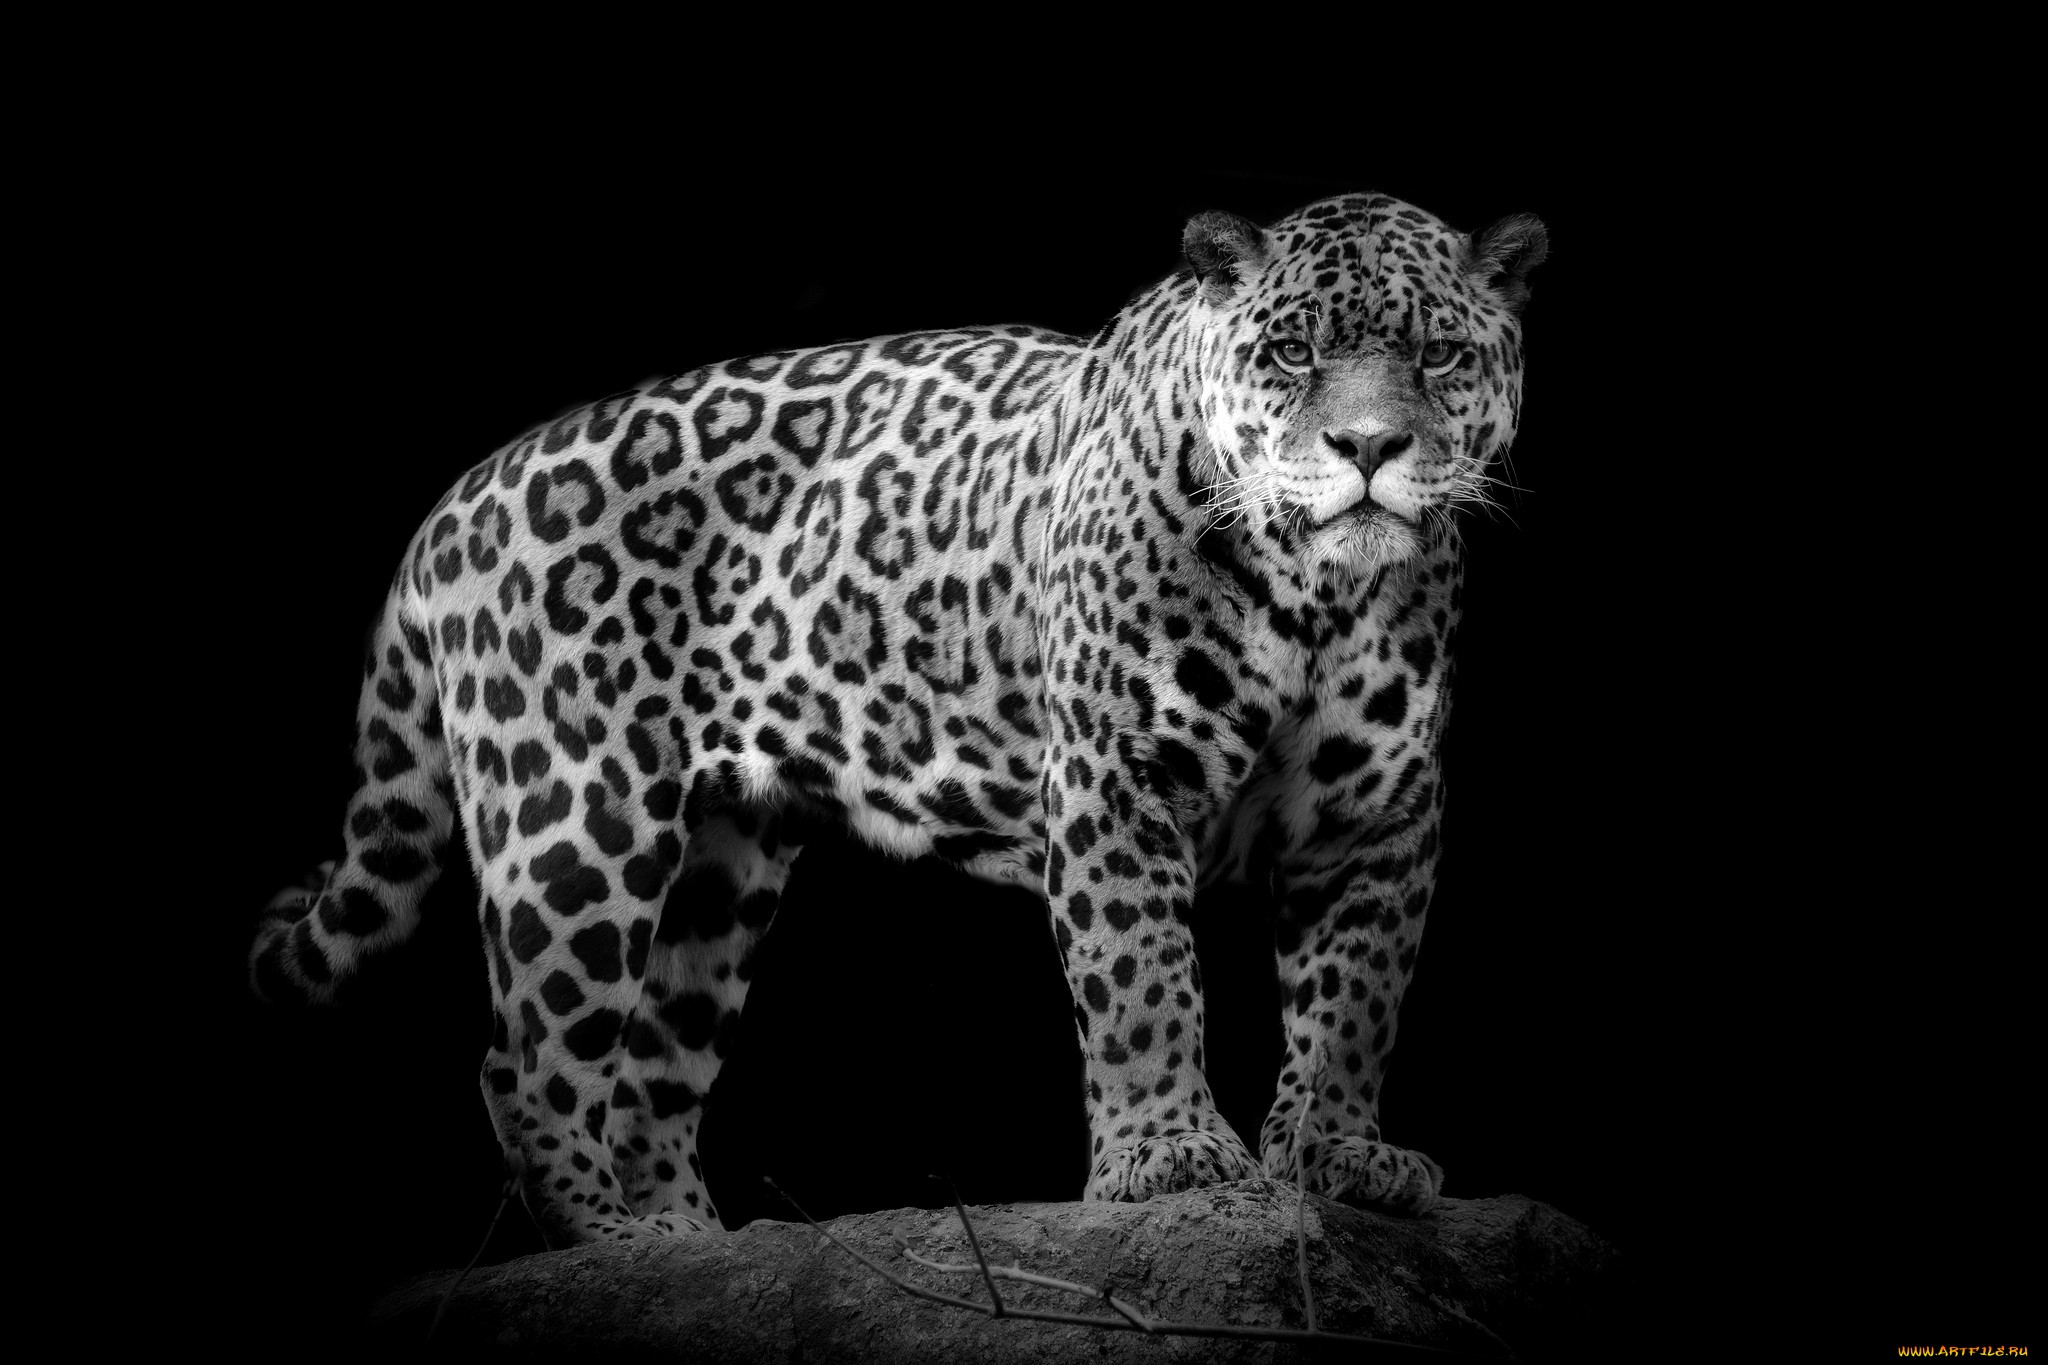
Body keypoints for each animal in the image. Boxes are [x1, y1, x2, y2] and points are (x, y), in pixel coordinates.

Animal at [250, 192, 1547, 1247]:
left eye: (1438, 354)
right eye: (1290, 352)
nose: (1367, 448)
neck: (1316, 593)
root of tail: (456, 498)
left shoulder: (1377, 814)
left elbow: (1353, 1000)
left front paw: (1336, 1158)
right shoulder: (1114, 778)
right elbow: (1140, 978)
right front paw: (1172, 1160)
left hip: (720, 871)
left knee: (649, 1076)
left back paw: (690, 1248)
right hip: (575, 825)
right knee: (525, 1061)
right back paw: (607, 1243)